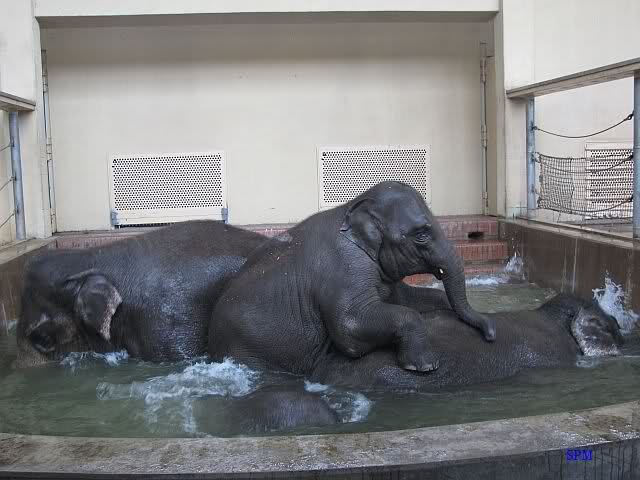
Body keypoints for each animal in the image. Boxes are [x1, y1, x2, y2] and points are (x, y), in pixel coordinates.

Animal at [209, 181, 496, 375]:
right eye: (422, 235)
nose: (491, 336)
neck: (353, 206)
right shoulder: (344, 266)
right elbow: (350, 327)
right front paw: (424, 366)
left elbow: (406, 298)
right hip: (249, 350)